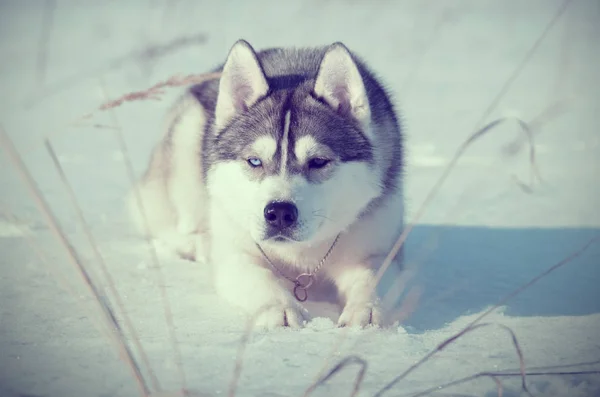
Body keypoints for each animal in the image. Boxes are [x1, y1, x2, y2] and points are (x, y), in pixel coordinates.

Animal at [128, 39, 406, 328]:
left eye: (318, 161)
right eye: (254, 161)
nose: (279, 212)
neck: (300, 254)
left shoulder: (377, 246)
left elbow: (371, 276)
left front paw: (367, 308)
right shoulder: (236, 255)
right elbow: (260, 277)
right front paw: (281, 308)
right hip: (185, 143)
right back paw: (199, 242)